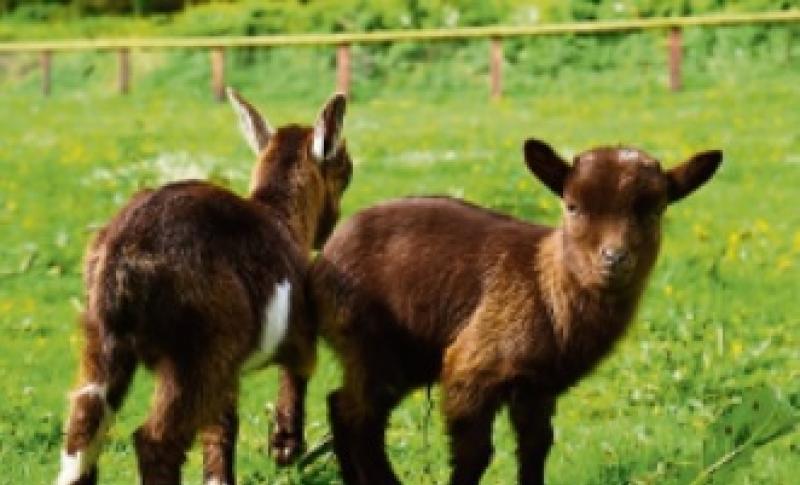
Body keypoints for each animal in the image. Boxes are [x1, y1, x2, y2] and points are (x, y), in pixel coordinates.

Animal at [55, 88, 352, 485]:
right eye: (345, 172)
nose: (328, 229)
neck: (282, 219)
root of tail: (124, 250)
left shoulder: (229, 370)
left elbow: (220, 428)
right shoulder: (296, 333)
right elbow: (297, 375)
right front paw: (285, 448)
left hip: (102, 337)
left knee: (82, 427)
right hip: (199, 346)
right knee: (154, 440)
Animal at [309, 139, 721, 485]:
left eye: (655, 210)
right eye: (572, 206)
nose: (614, 259)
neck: (547, 286)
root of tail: (323, 255)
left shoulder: (537, 385)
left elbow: (536, 449)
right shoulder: (471, 365)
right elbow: (475, 455)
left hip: (403, 354)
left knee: (342, 406)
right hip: (367, 338)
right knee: (358, 415)